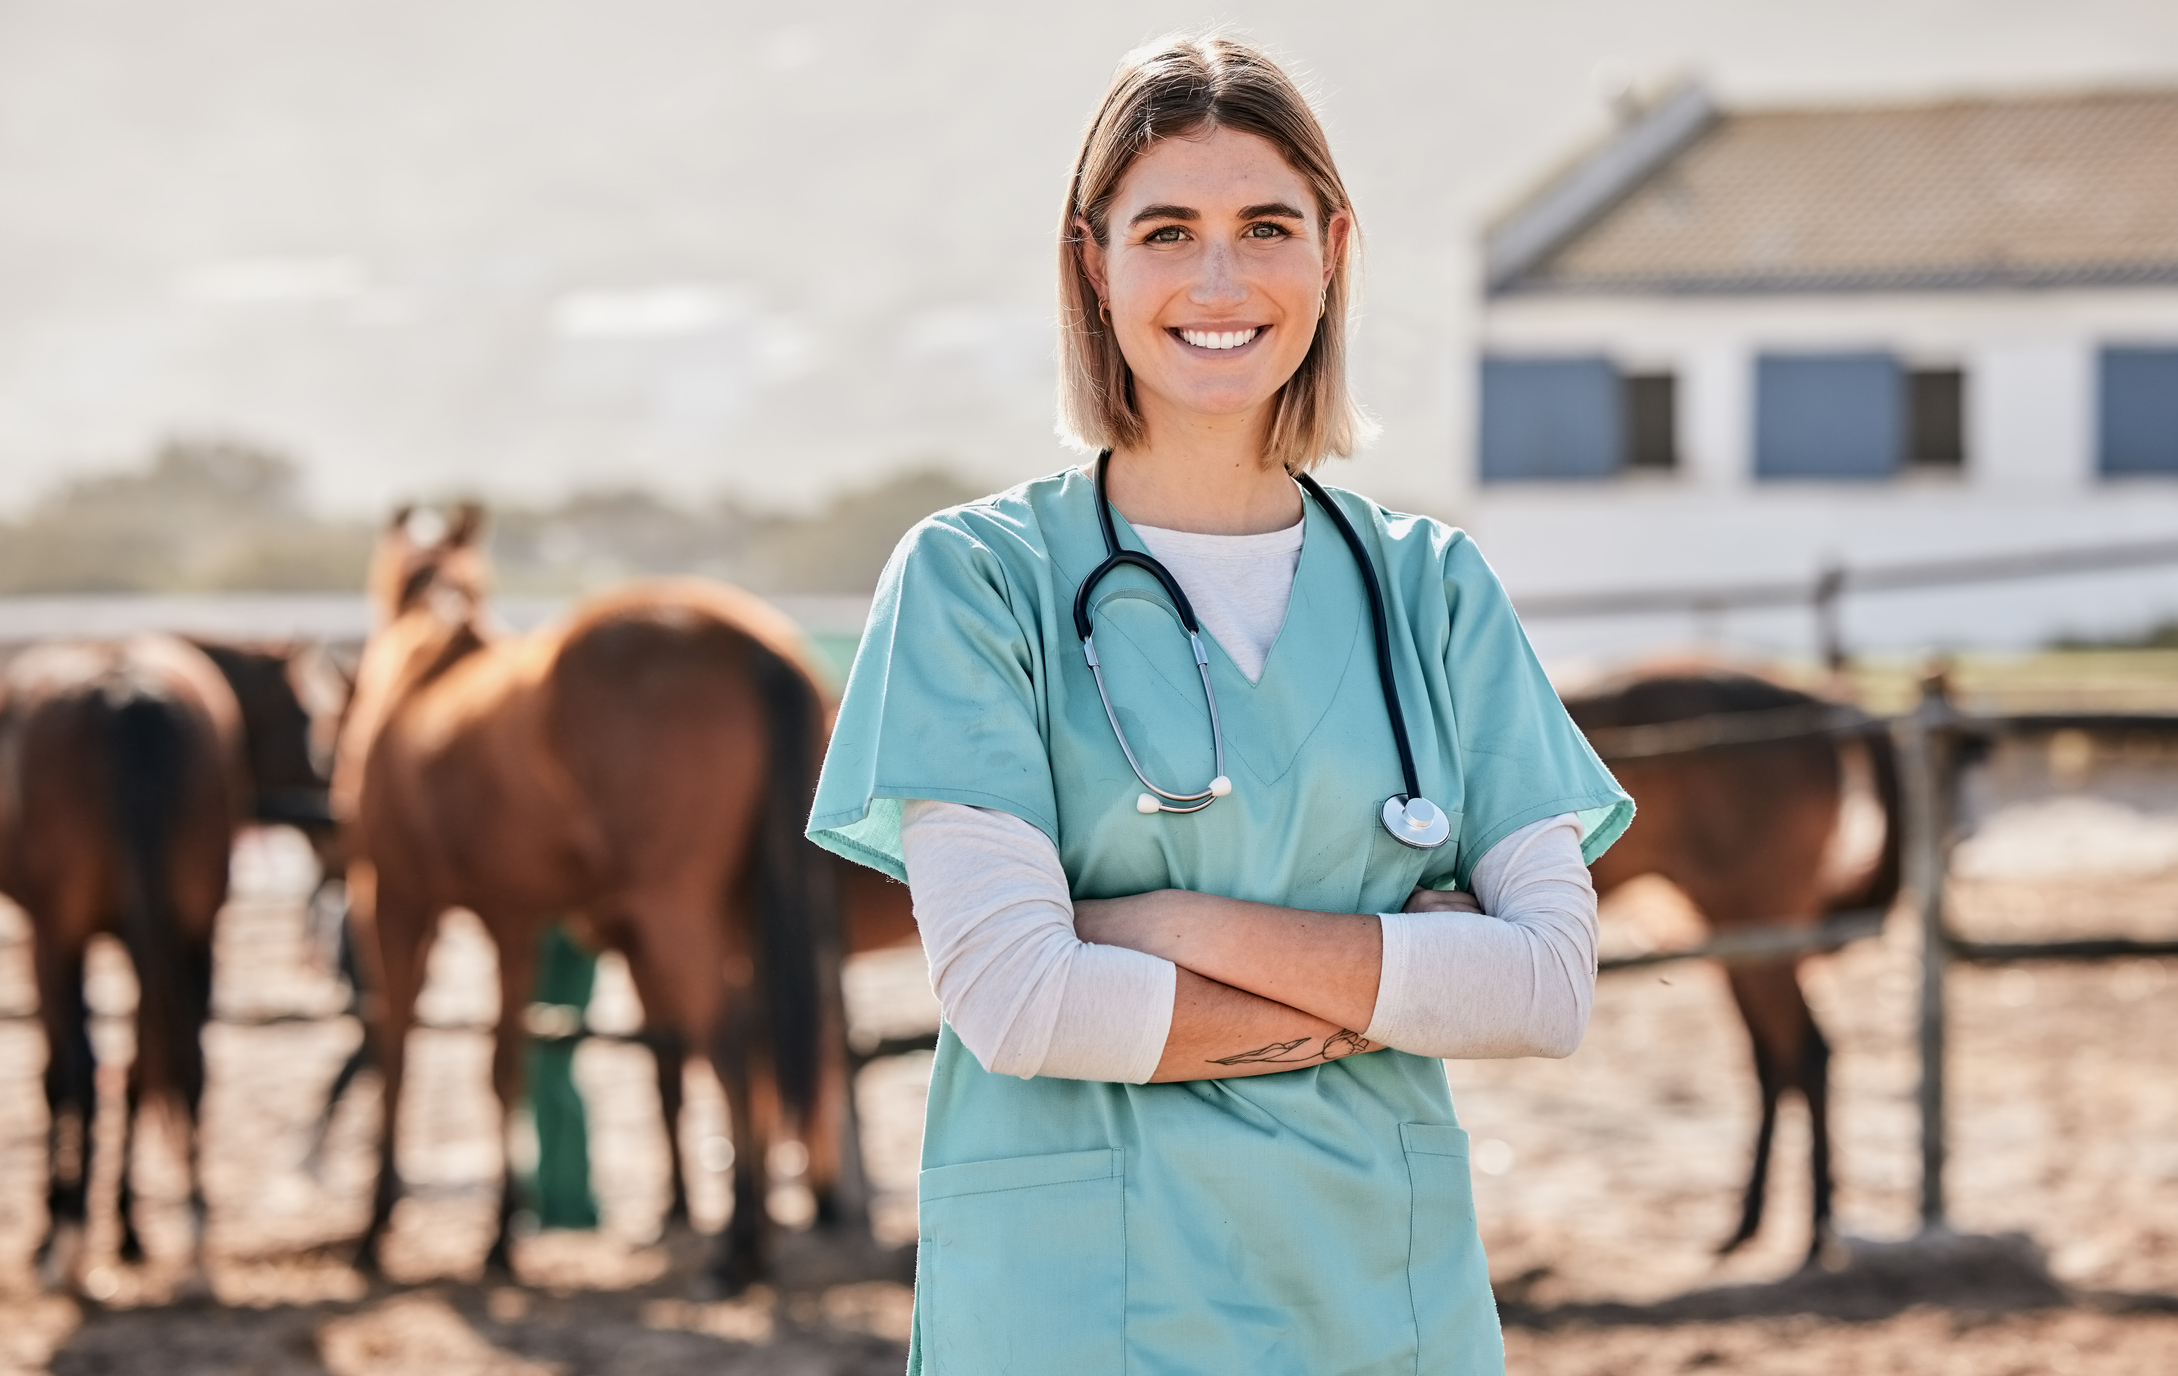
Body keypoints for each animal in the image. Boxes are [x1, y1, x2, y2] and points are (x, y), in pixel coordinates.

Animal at [0, 635, 249, 1288]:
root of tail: (127, 693)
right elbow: (140, 1070)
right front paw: (130, 1233)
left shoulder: (47, 939)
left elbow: (58, 1076)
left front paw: (55, 1226)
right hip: (194, 929)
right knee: (186, 1063)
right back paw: (191, 1242)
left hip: (62, 936)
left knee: (84, 1070)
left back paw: (69, 1247)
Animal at [337, 507, 849, 1288]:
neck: (427, 669)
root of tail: (748, 645)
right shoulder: (512, 918)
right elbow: (505, 1065)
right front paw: (499, 1236)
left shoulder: (393, 902)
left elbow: (395, 1054)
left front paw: (378, 1228)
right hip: (741, 907)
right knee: (759, 1041)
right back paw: (751, 1239)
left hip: (676, 911)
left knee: (731, 1041)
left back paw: (737, 1249)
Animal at [1568, 670, 1890, 1271]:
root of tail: (1814, 703)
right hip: (1740, 942)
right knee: (1774, 1062)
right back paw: (1751, 1223)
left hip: (1761, 935)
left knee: (1806, 1053)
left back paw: (1815, 1231)